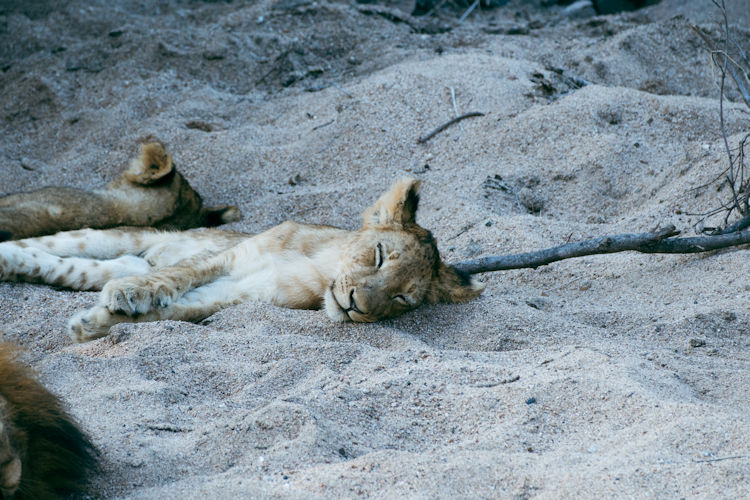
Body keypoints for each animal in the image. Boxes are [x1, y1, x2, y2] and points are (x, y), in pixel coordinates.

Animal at [0, 178, 484, 342]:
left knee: (66, 266)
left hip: (111, 261)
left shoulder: (239, 293)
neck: (320, 269)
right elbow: (181, 273)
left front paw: (95, 323)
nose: (355, 306)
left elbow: (173, 311)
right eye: (381, 256)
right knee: (51, 244)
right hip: (120, 235)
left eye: (402, 300)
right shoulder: (233, 254)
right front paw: (130, 296)